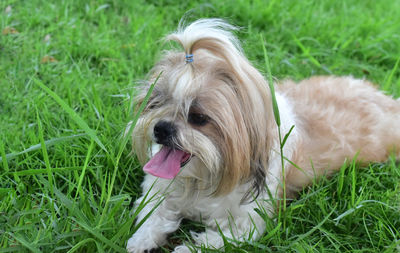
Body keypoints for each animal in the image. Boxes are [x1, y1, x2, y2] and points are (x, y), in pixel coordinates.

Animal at [126, 18, 400, 252]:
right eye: (155, 103)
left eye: (198, 117)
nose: (161, 127)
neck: (203, 178)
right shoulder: (158, 193)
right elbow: (152, 216)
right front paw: (140, 241)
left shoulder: (245, 224)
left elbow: (211, 241)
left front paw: (185, 248)